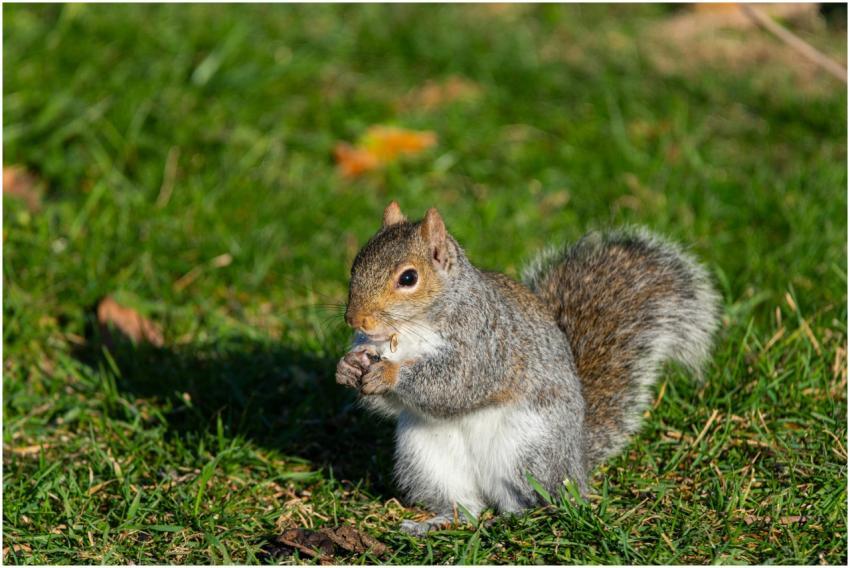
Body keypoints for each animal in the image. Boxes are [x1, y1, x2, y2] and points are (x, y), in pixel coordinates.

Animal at [335, 202, 720, 536]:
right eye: (355, 265)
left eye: (408, 278)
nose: (355, 319)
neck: (408, 332)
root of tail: (576, 463)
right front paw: (347, 367)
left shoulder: (485, 345)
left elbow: (456, 384)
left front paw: (389, 374)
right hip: (427, 459)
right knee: (467, 508)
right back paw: (438, 522)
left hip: (529, 452)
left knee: (530, 499)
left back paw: (514, 519)